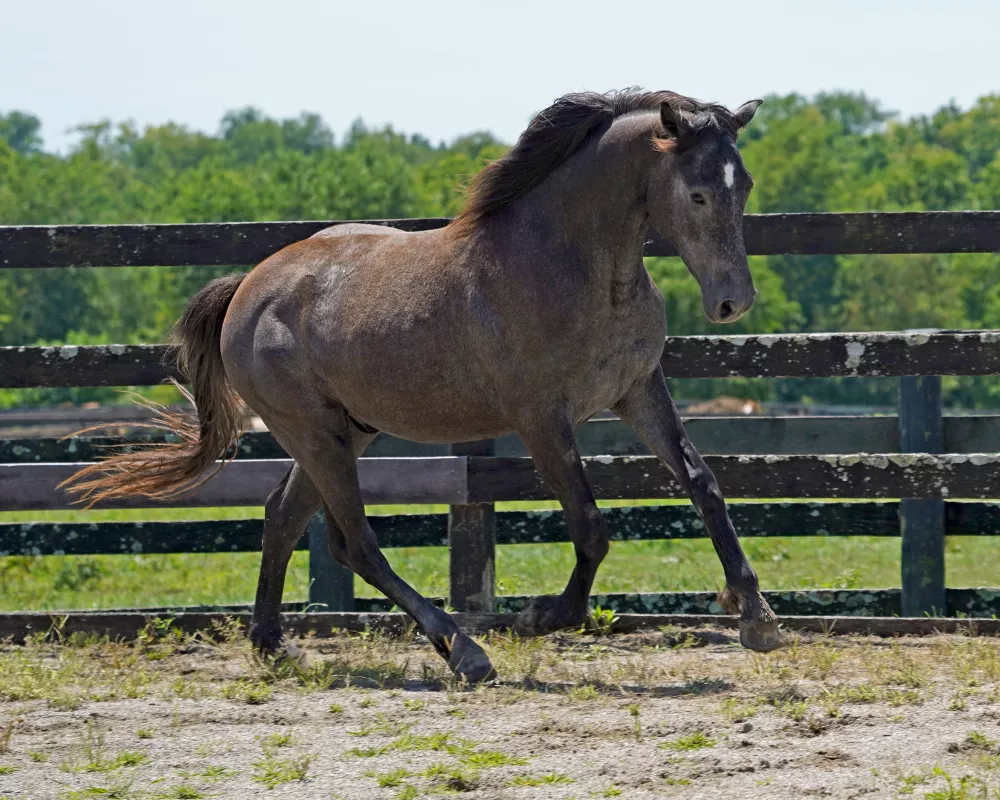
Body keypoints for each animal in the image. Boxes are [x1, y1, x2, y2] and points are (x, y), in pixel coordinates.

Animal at [64, 89, 780, 680]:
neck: (576, 266)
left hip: (345, 432)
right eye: (697, 194)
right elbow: (590, 524)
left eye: (742, 183)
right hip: (315, 434)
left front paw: (756, 617)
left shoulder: (638, 392)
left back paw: (273, 646)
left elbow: (704, 486)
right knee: (355, 542)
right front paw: (540, 618)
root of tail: (247, 287)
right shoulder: (541, 419)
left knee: (283, 520)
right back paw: (463, 649)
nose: (732, 303)